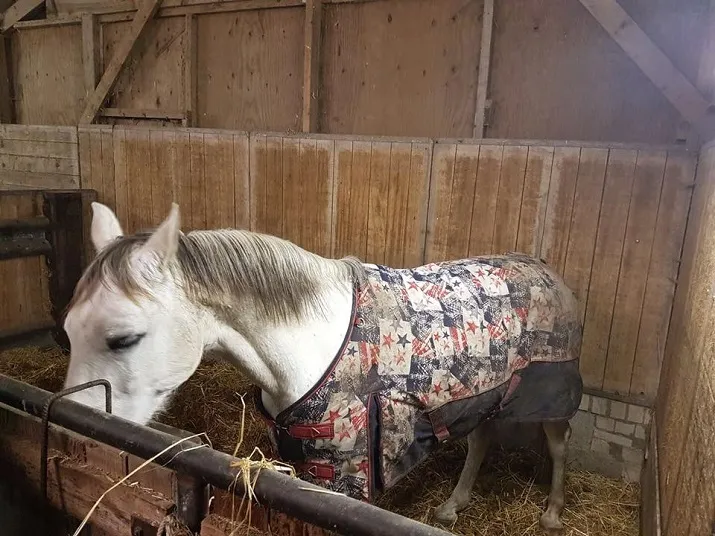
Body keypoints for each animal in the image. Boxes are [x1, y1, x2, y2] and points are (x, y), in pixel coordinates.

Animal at [62, 202, 583, 534]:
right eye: (68, 329)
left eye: (123, 338)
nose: (75, 421)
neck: (310, 343)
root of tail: (548, 271)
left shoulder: (344, 472)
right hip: (488, 393)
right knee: (481, 440)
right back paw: (452, 508)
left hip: (552, 396)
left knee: (558, 447)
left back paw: (552, 514)